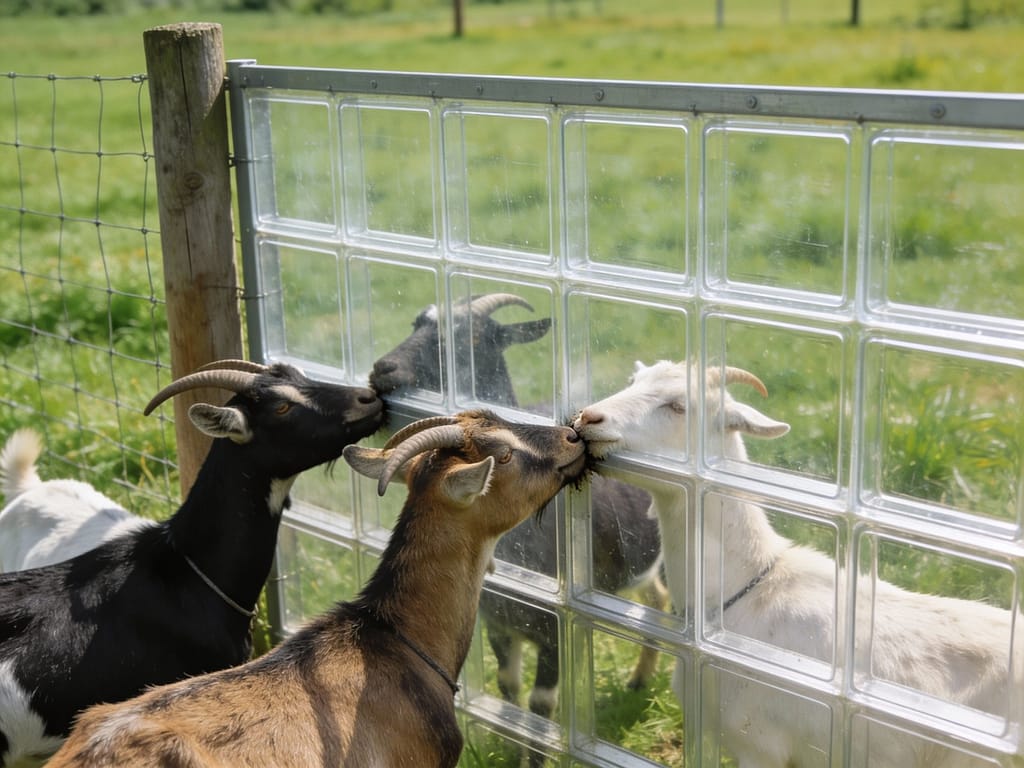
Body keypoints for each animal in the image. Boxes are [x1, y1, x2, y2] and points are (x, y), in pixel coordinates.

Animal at [370, 293, 666, 725]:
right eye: (416, 323)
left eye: (472, 338)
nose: (383, 369)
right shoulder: (498, 624)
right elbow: (507, 685)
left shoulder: (552, 632)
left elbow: (541, 703)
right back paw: (639, 681)